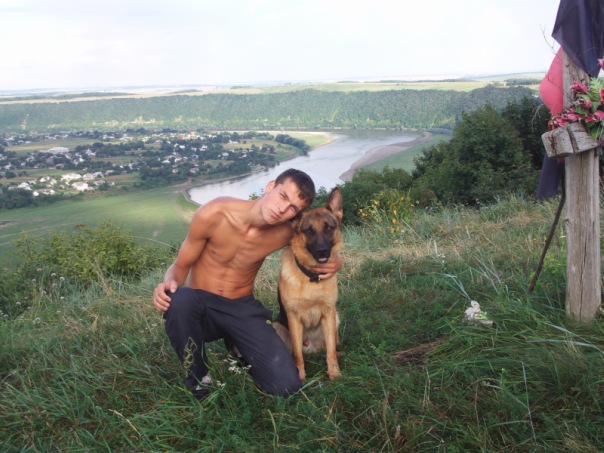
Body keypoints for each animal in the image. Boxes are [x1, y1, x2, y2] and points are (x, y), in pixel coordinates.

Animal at [272, 187, 343, 381]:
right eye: (309, 231)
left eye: (328, 228)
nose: (322, 252)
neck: (312, 277)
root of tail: (312, 347)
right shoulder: (294, 317)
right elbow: (297, 354)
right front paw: (301, 377)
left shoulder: (328, 312)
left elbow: (330, 352)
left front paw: (334, 373)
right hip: (277, 327)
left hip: (335, 317)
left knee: (332, 346)